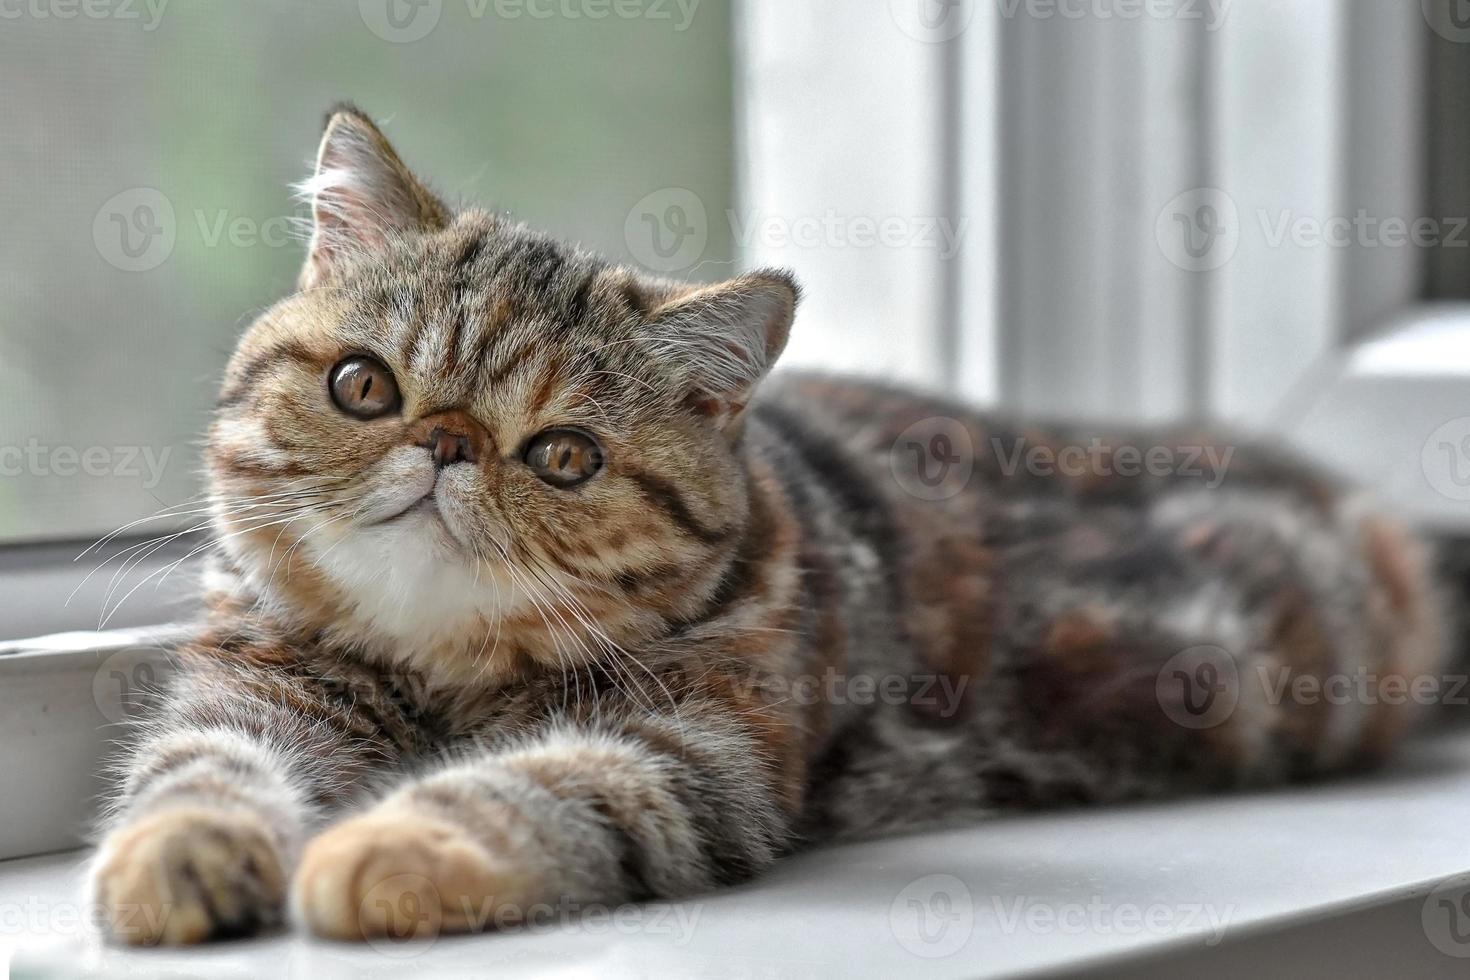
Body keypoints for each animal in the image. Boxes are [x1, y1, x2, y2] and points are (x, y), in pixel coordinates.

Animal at [88, 105, 1446, 940]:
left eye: (564, 454)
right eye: (365, 385)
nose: (449, 444)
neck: (442, 669)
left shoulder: (695, 749)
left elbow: (540, 785)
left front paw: (389, 847)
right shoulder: (255, 681)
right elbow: (195, 768)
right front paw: (179, 854)